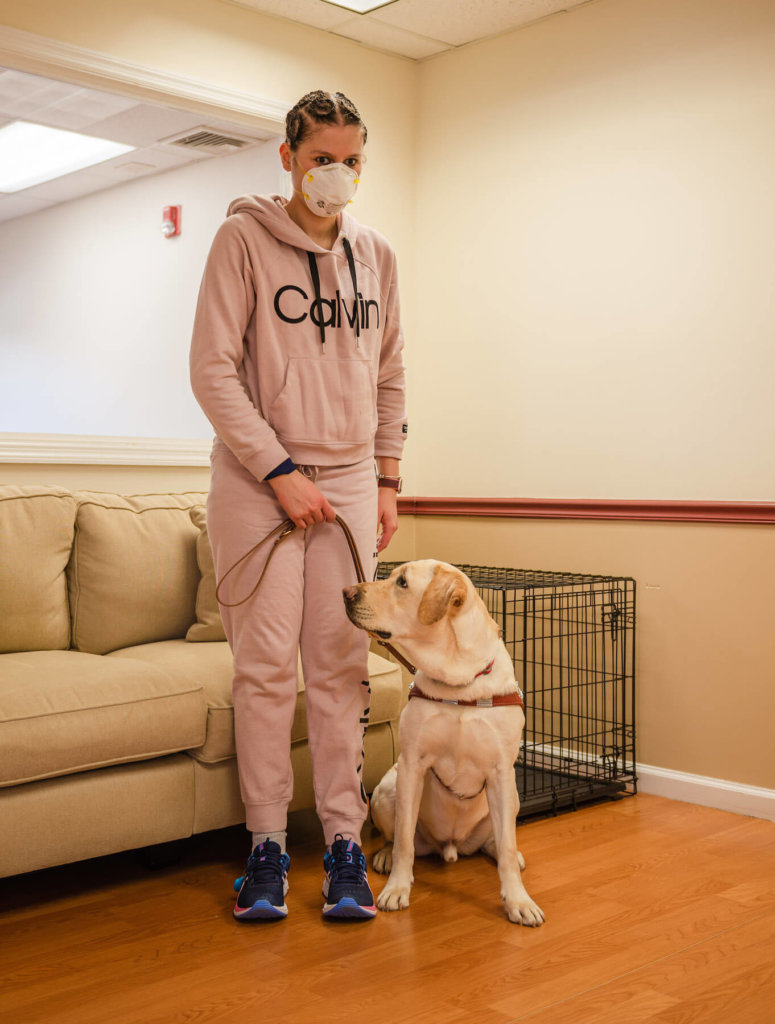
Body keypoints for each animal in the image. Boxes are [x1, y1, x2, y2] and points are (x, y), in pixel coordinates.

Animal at [343, 561, 544, 929]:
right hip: (386, 790)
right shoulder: (412, 764)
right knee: (396, 837)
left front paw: (518, 901)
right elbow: (403, 842)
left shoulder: (501, 772)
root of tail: (452, 847)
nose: (346, 592)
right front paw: (397, 888)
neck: (458, 681)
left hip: (513, 797)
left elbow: (507, 849)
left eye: (402, 583)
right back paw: (383, 857)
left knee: (499, 842)